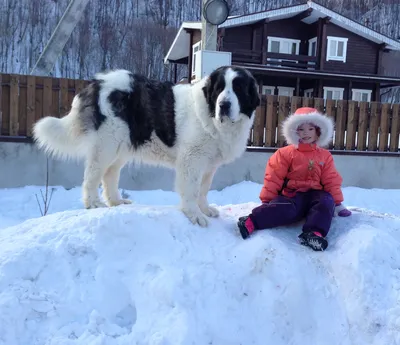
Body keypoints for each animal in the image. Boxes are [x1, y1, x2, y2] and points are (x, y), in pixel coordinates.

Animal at [32, 65, 260, 226]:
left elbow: (203, 189)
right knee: (92, 175)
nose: (224, 105)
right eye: (219, 89)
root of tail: (96, 82)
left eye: (238, 89)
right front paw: (194, 214)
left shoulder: (209, 164)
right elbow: (192, 190)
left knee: (109, 174)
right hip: (107, 144)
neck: (211, 116)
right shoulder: (192, 159)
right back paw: (93, 203)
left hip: (122, 145)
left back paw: (116, 201)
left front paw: (205, 209)